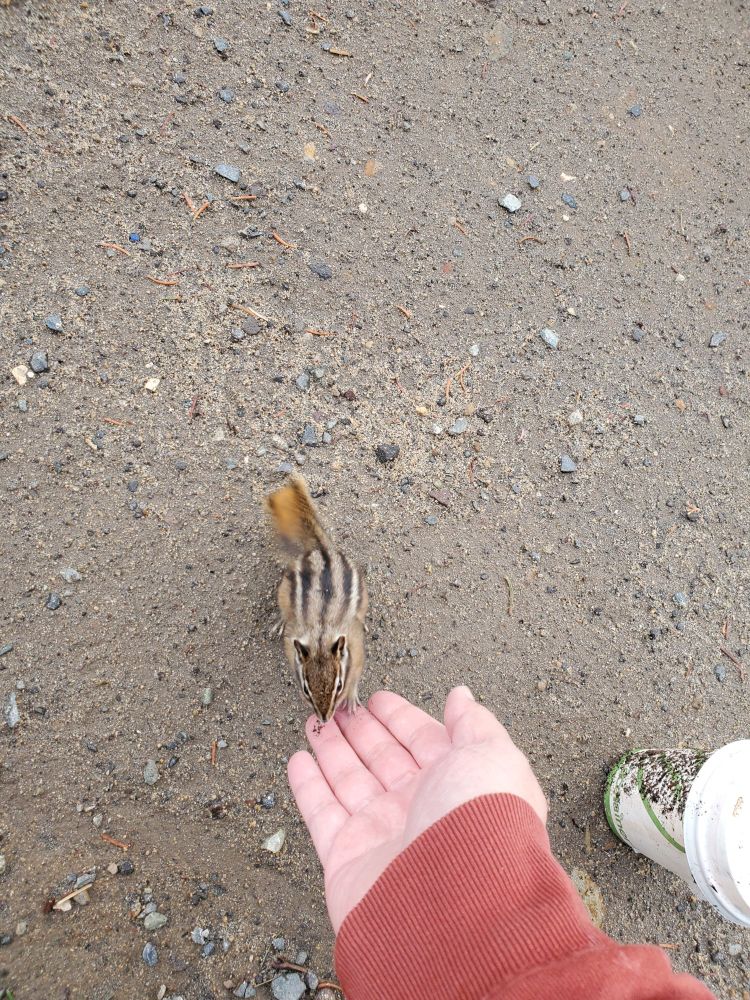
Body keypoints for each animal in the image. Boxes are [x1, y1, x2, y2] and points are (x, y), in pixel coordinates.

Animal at [265, 475, 368, 723]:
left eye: (338, 686)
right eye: (306, 689)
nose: (324, 719)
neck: (321, 635)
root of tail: (321, 549)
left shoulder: (358, 652)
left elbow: (356, 677)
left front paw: (352, 698)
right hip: (283, 592)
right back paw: (280, 621)